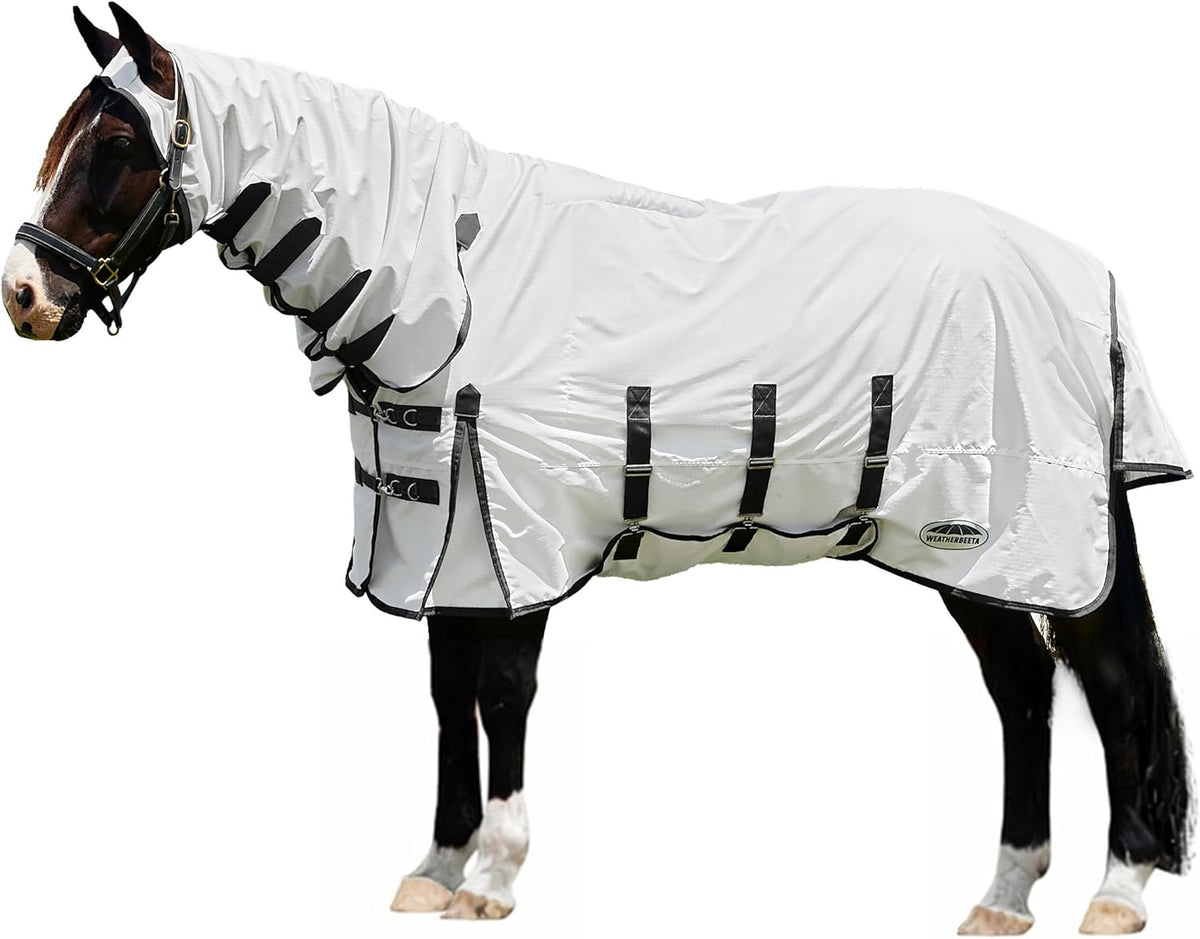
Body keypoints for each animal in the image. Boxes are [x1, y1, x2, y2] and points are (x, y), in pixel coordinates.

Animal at [2, 6, 1194, 933]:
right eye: (67, 134)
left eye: (117, 144)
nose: (26, 297)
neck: (447, 284)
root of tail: (1084, 277)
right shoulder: (439, 544)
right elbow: (447, 695)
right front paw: (434, 869)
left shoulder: (513, 539)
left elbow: (503, 695)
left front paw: (494, 876)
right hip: (969, 556)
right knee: (1024, 689)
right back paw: (1005, 895)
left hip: (1025, 541)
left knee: (1110, 683)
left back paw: (1118, 891)